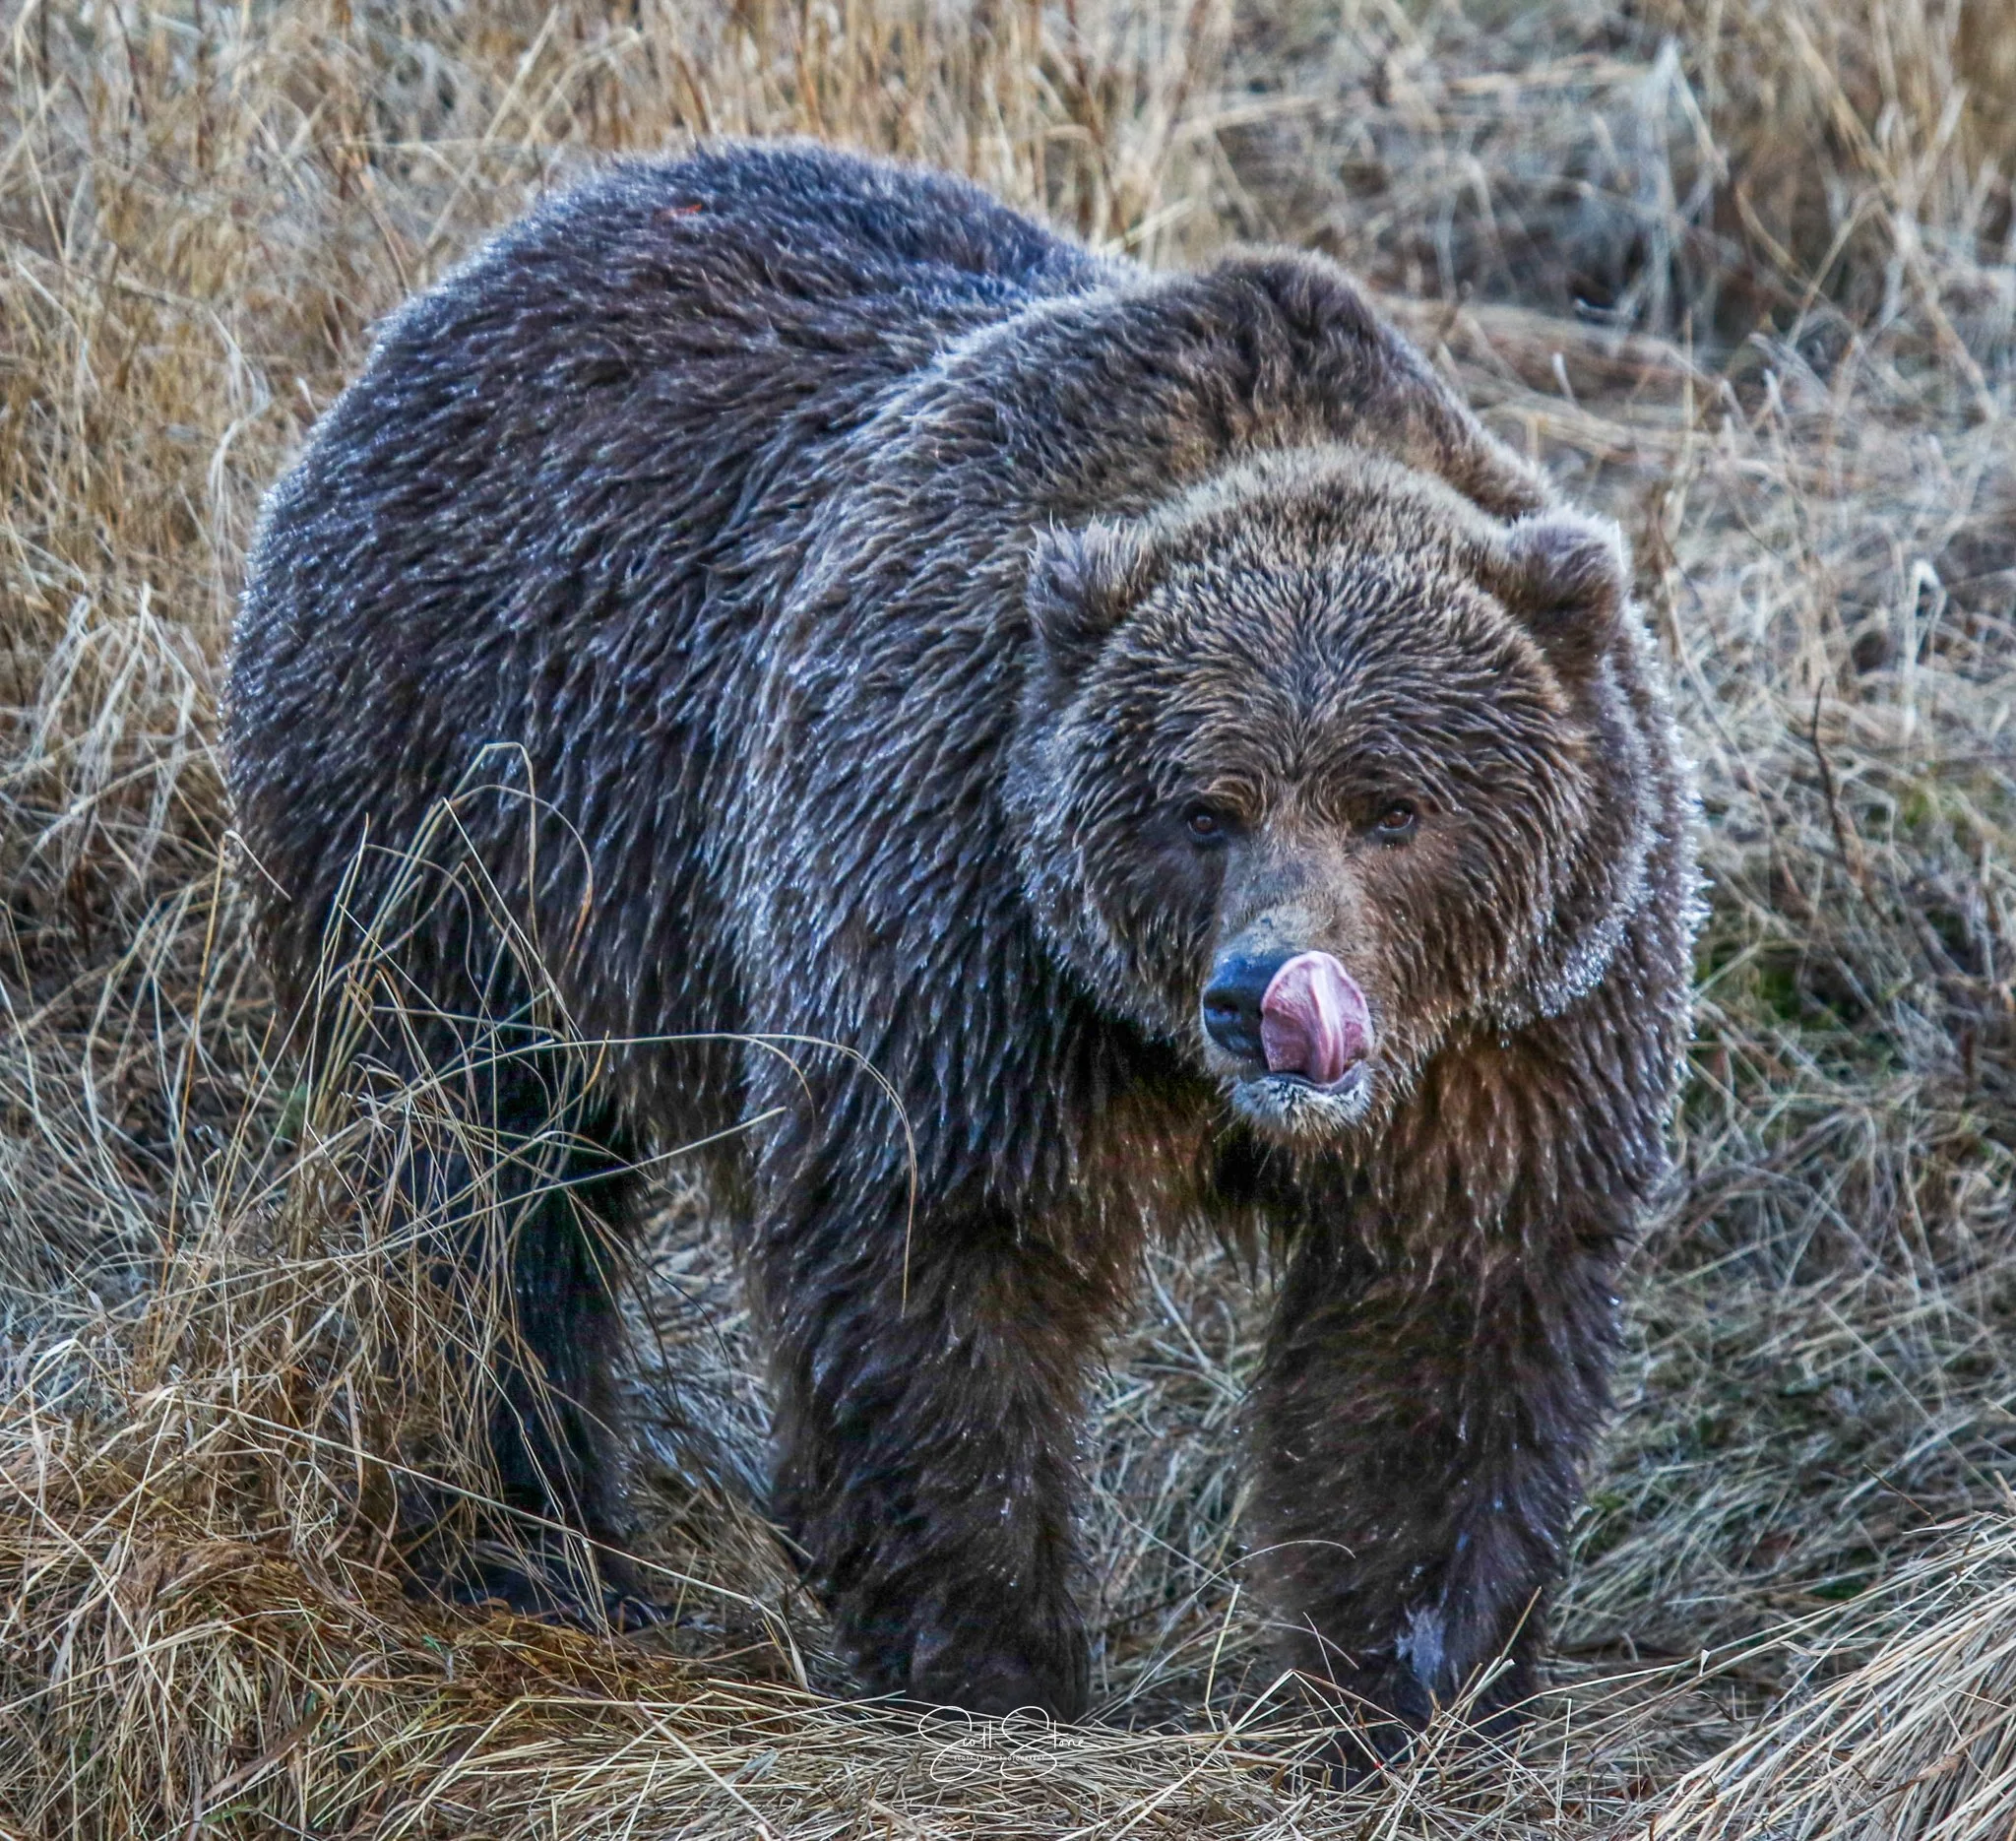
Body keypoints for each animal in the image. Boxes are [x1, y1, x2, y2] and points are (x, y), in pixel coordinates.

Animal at [225, 139, 1698, 1757]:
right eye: (1203, 805)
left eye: (1394, 805)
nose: (1265, 995)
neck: (1163, 1058)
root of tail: (457, 290)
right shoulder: (958, 930)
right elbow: (937, 1287)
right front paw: (997, 1673)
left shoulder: (1514, 1039)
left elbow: (1439, 1339)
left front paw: (1415, 1692)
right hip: (461, 814)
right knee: (477, 1196)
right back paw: (525, 1546)